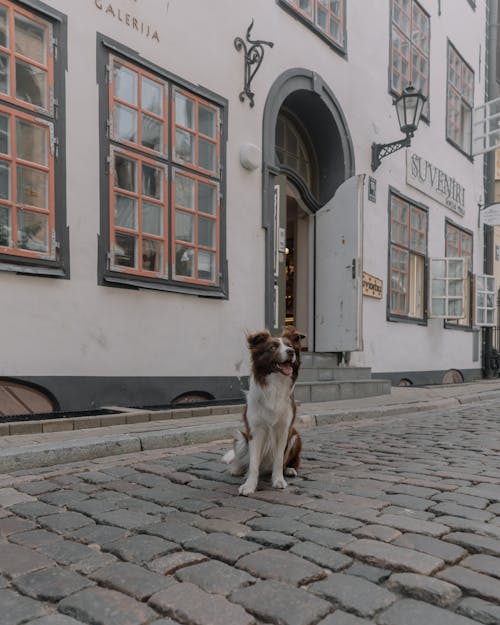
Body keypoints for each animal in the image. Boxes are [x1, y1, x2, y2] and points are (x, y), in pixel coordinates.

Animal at [223, 326, 304, 498]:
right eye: (273, 347)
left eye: (290, 346)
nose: (291, 352)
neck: (275, 385)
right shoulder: (255, 430)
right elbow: (253, 463)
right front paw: (249, 485)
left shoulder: (283, 430)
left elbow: (279, 460)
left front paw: (278, 480)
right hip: (240, 437)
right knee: (243, 460)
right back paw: (237, 469)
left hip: (295, 437)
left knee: (290, 461)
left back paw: (290, 469)